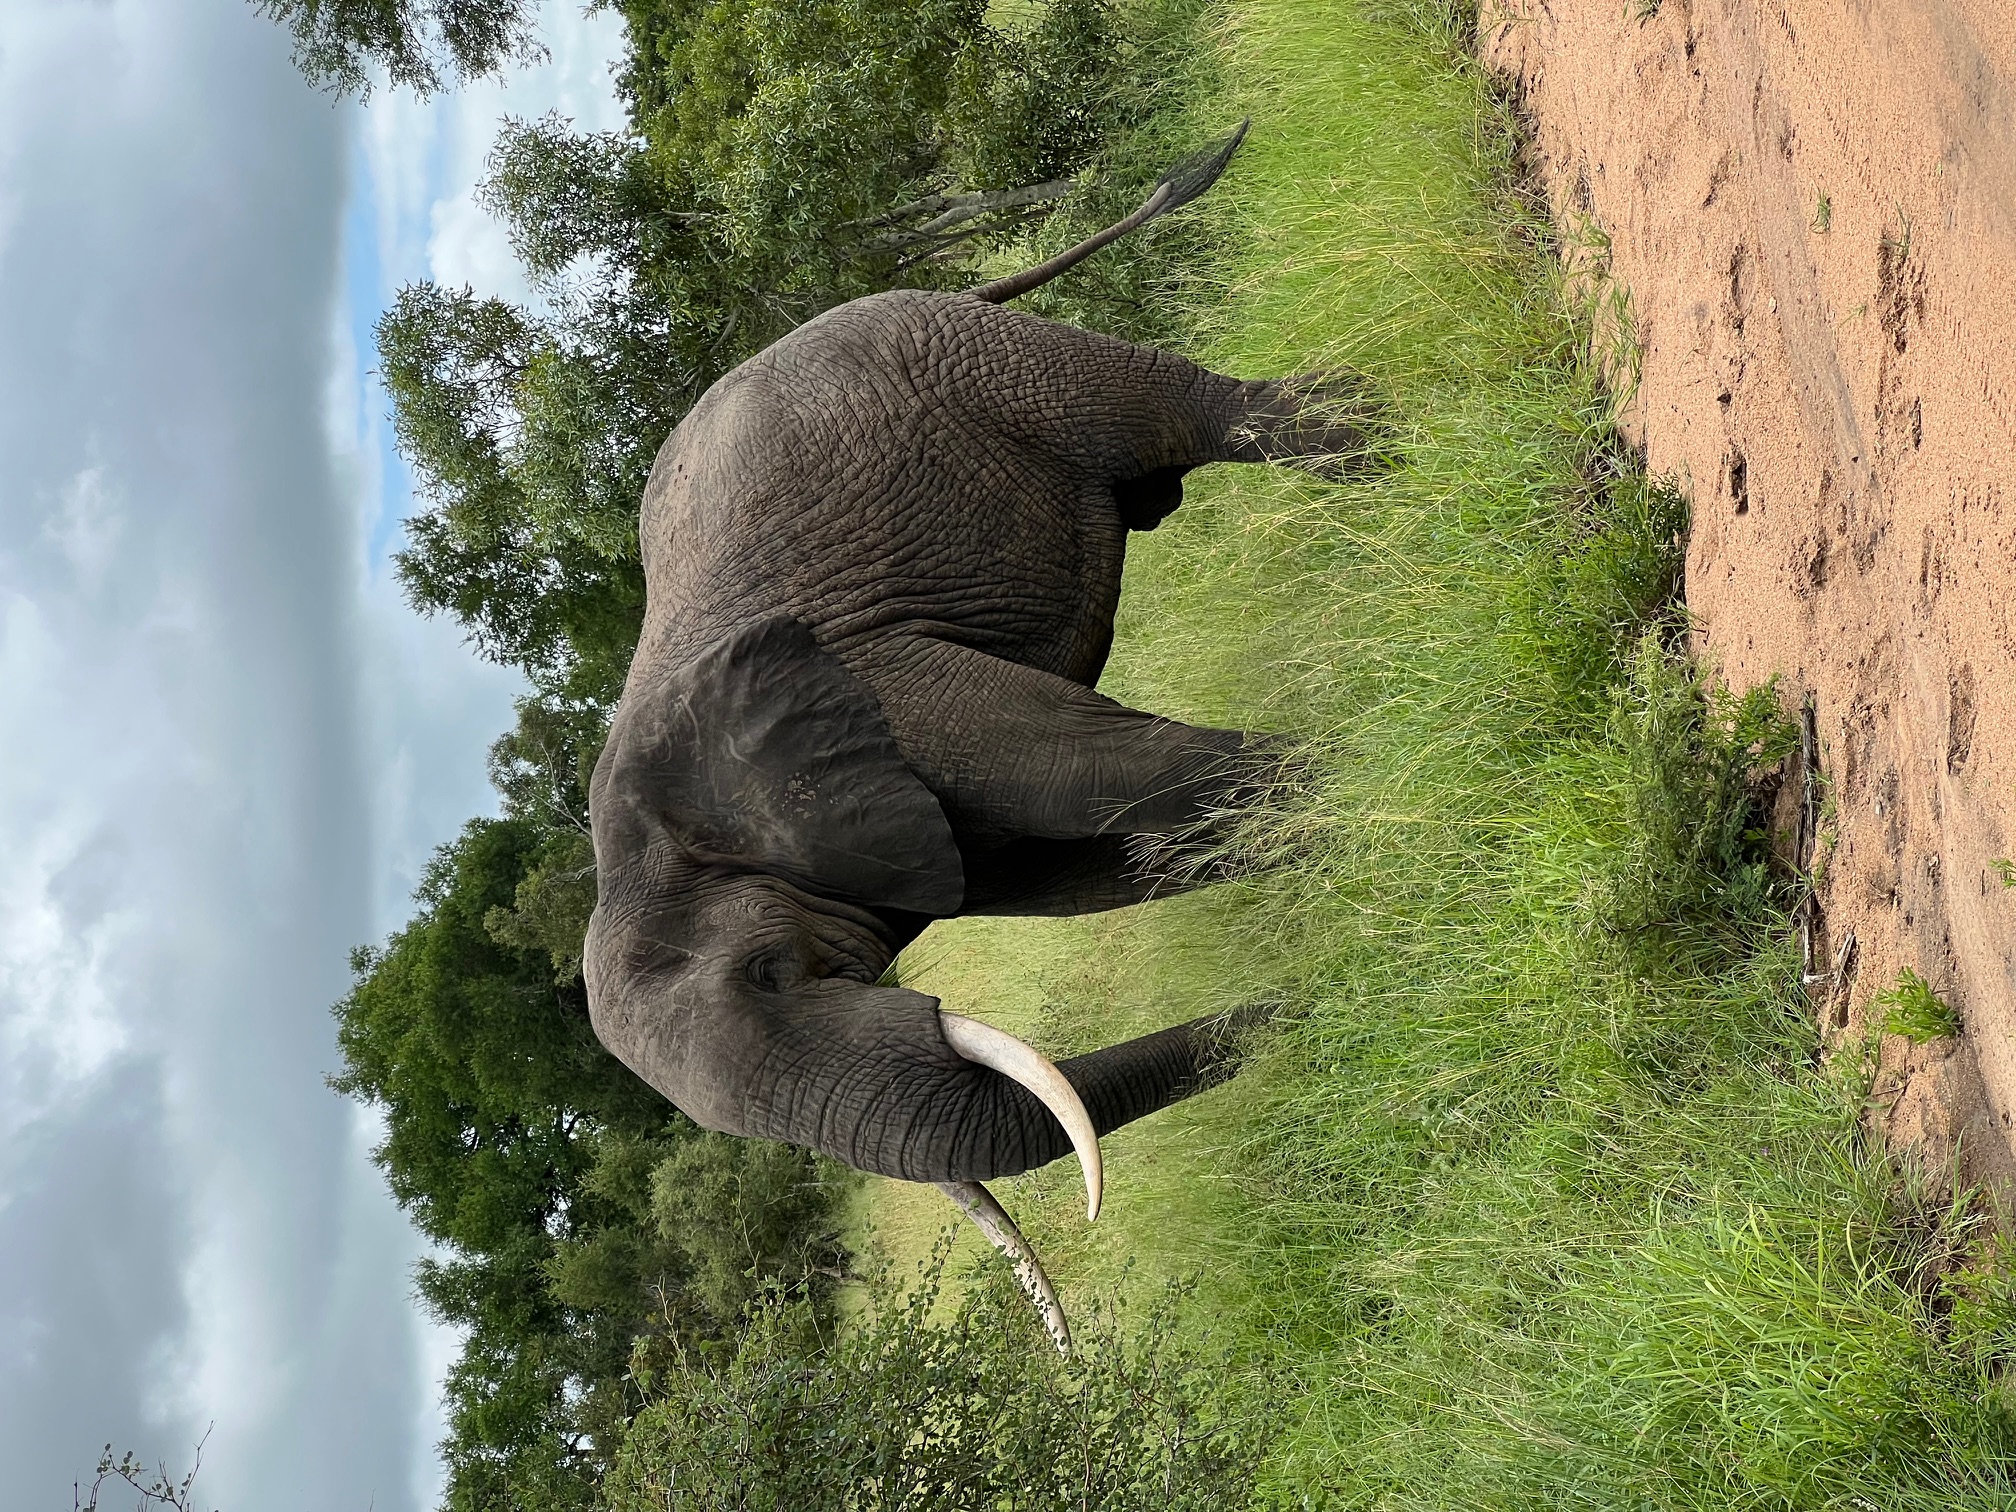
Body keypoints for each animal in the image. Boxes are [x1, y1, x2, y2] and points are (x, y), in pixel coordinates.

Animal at [582, 123, 1376, 1347]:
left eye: (770, 971)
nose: (1286, 1012)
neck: (635, 837)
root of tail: (915, 291)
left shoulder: (887, 683)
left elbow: (1090, 773)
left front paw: (1375, 801)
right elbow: (1109, 866)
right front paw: (1325, 867)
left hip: (983, 363)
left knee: (1185, 413)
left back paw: (1390, 448)